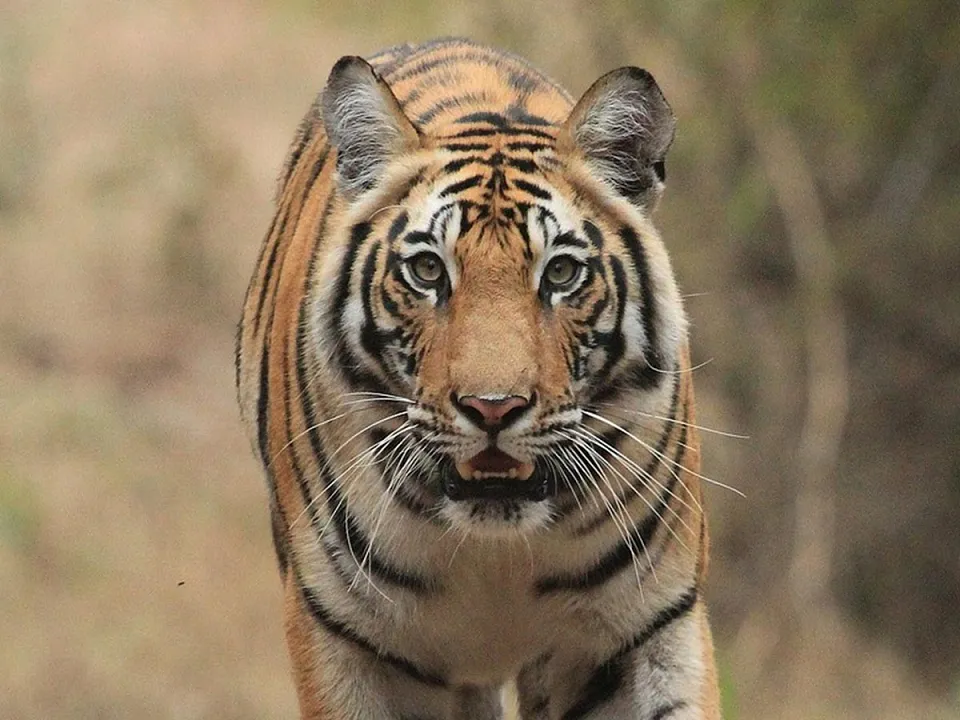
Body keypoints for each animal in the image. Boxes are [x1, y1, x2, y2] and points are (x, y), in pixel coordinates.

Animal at [235, 37, 721, 720]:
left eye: (561, 273)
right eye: (427, 271)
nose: (494, 407)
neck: (498, 558)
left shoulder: (644, 628)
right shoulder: (348, 638)